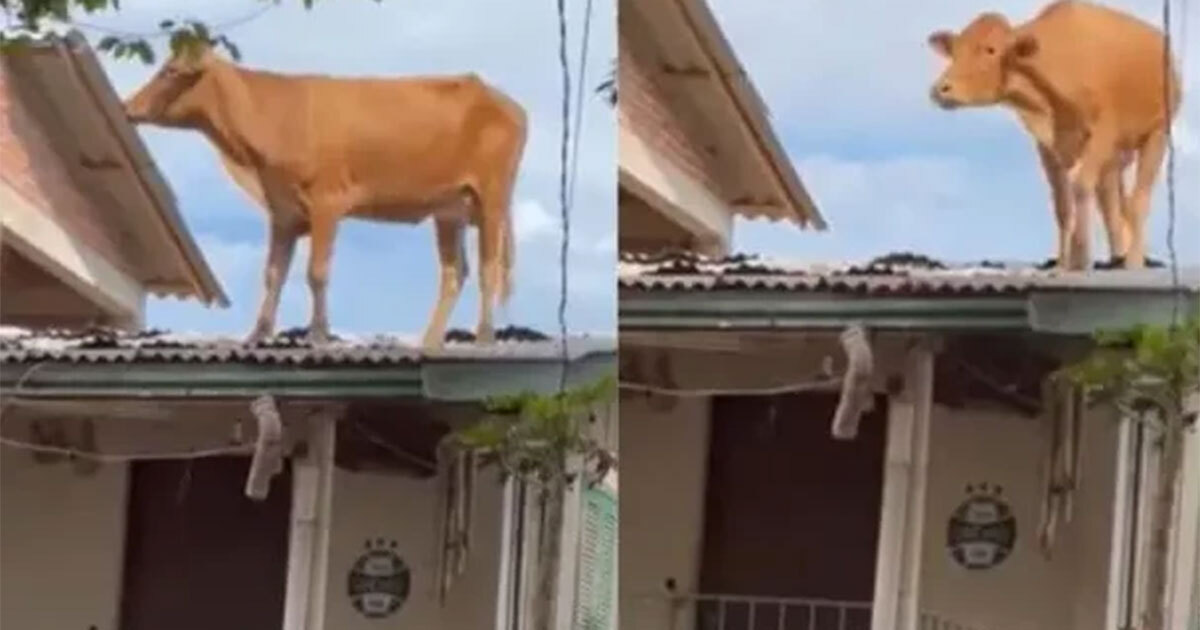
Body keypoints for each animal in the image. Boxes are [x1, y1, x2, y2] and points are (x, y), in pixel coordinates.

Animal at [120, 44, 525, 348]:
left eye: (170, 71)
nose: (127, 107)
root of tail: (502, 98)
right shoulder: (283, 213)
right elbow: (273, 273)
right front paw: (258, 333)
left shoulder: (328, 202)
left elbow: (316, 272)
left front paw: (317, 333)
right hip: (448, 210)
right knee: (455, 272)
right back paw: (430, 340)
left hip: (492, 198)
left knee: (488, 267)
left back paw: (484, 336)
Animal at [926, 0, 1180, 270]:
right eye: (954, 51)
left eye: (990, 50)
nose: (940, 89)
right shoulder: (1047, 146)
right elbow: (1062, 205)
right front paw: (1063, 264)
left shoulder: (1104, 132)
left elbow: (1081, 186)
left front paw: (1081, 258)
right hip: (1116, 157)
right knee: (1112, 202)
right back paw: (1117, 258)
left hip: (1157, 133)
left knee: (1138, 200)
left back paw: (1132, 261)